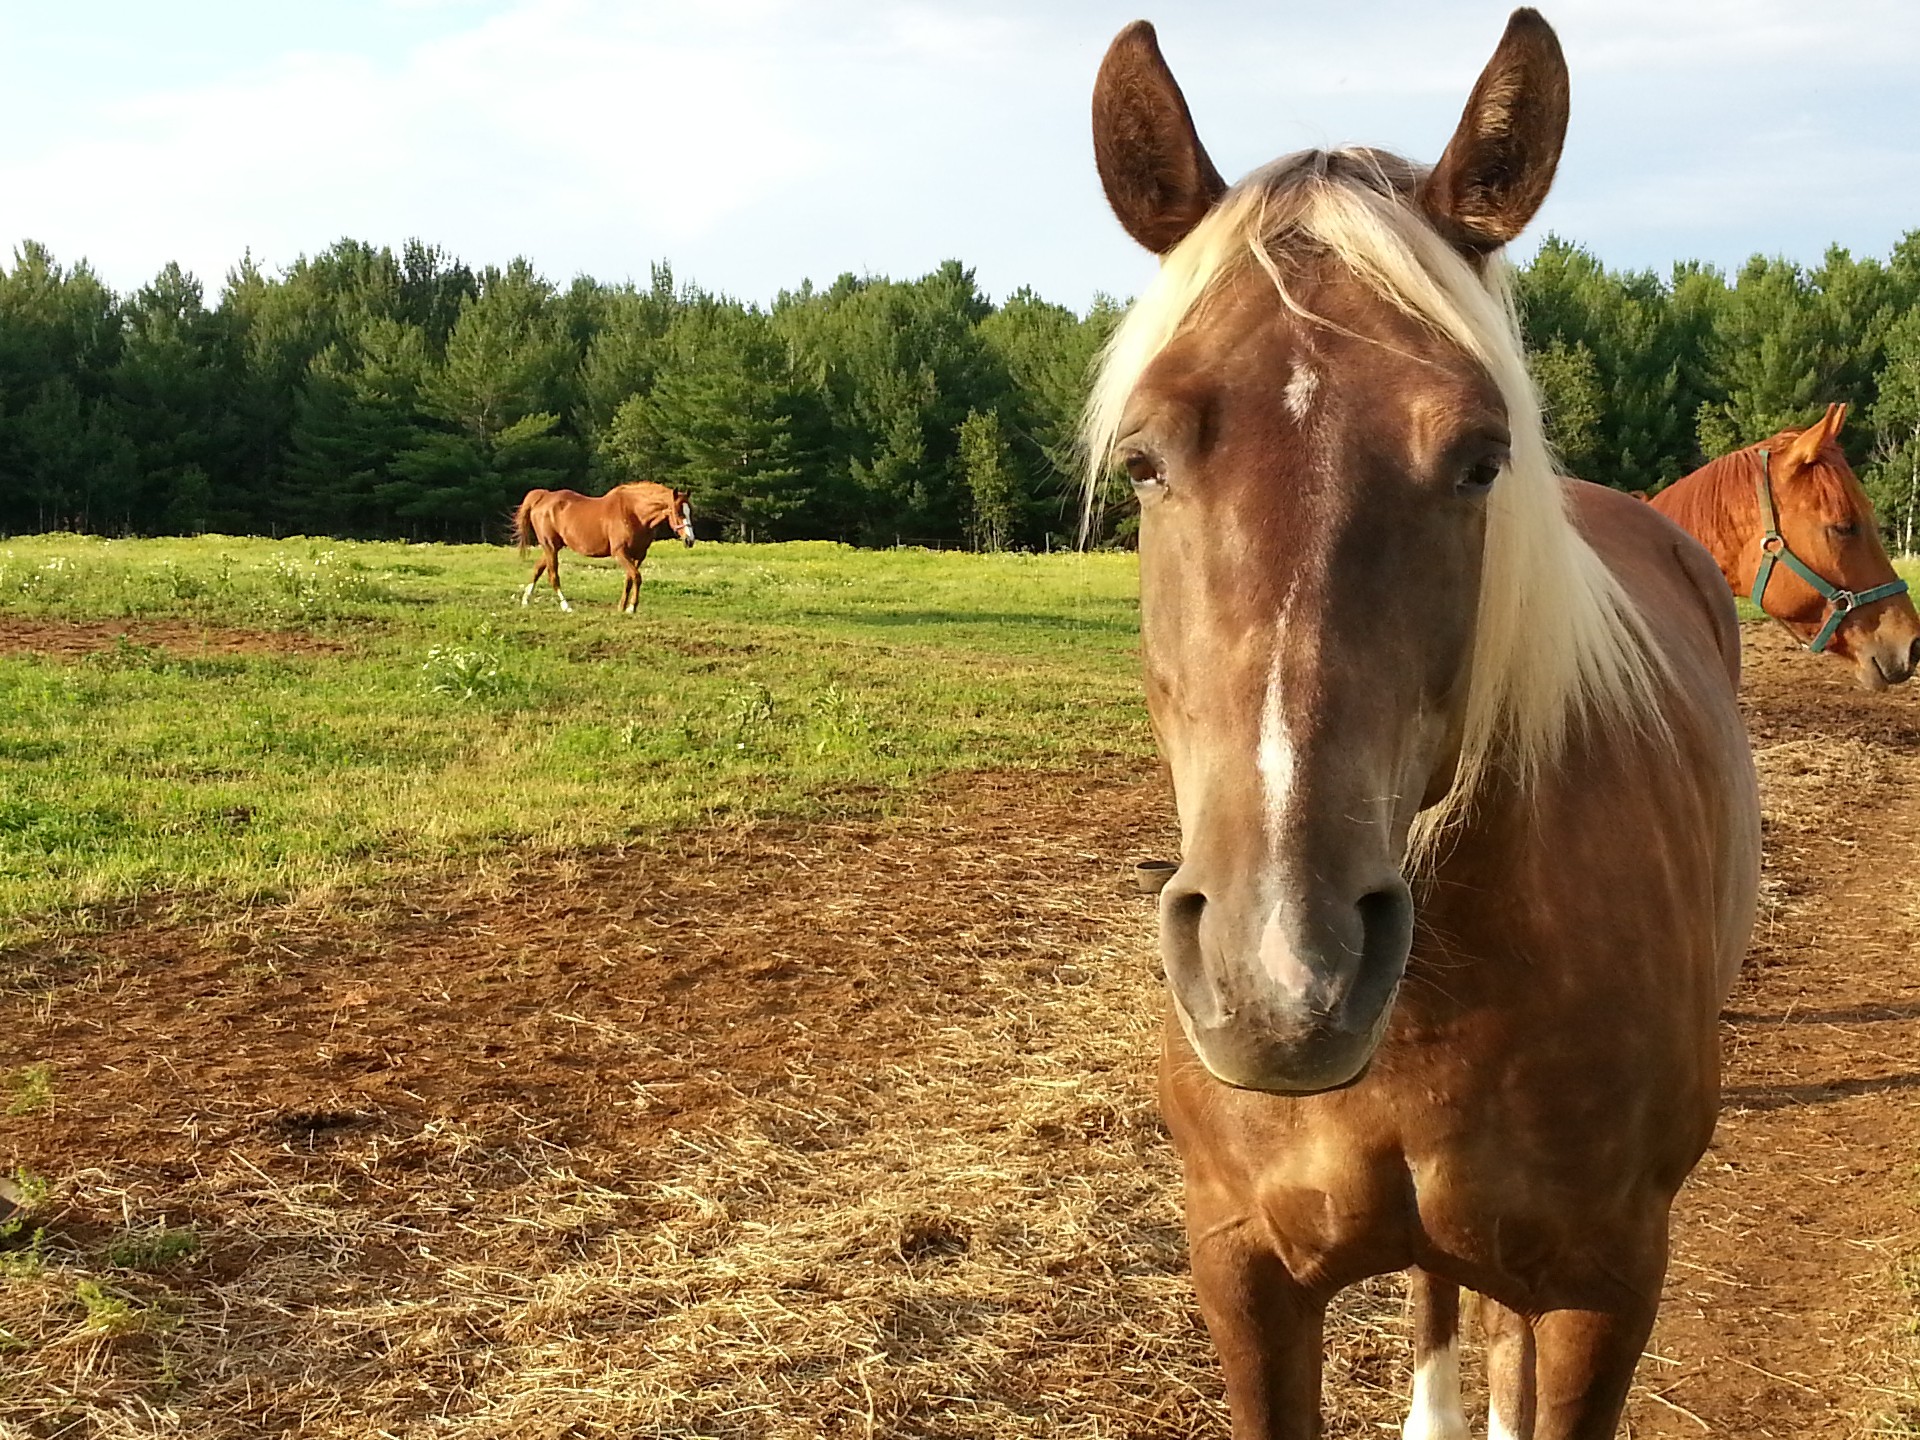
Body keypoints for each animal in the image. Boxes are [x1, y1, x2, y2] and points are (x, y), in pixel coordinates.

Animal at [506, 485, 695, 614]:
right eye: (678, 512)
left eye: (689, 511)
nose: (690, 540)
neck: (633, 513)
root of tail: (543, 497)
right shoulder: (620, 553)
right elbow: (637, 577)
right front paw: (631, 608)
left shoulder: (638, 556)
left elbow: (629, 579)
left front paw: (622, 607)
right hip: (550, 546)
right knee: (553, 576)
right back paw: (566, 606)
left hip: (553, 547)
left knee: (537, 569)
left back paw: (526, 600)